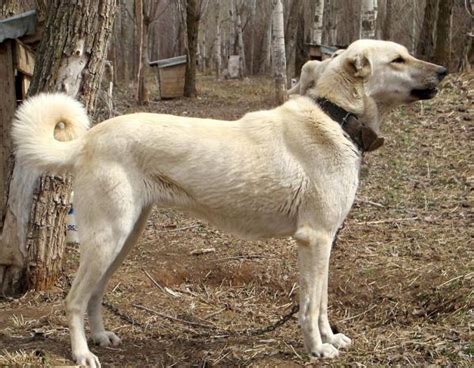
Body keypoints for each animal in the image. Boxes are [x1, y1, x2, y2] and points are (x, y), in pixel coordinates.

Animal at [12, 38, 448, 366]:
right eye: (398, 59)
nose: (444, 71)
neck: (336, 118)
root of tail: (88, 139)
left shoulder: (325, 242)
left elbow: (323, 302)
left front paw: (330, 340)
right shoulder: (314, 239)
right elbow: (310, 306)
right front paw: (316, 348)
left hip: (123, 239)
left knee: (95, 294)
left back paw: (101, 337)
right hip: (108, 238)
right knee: (74, 299)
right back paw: (82, 354)